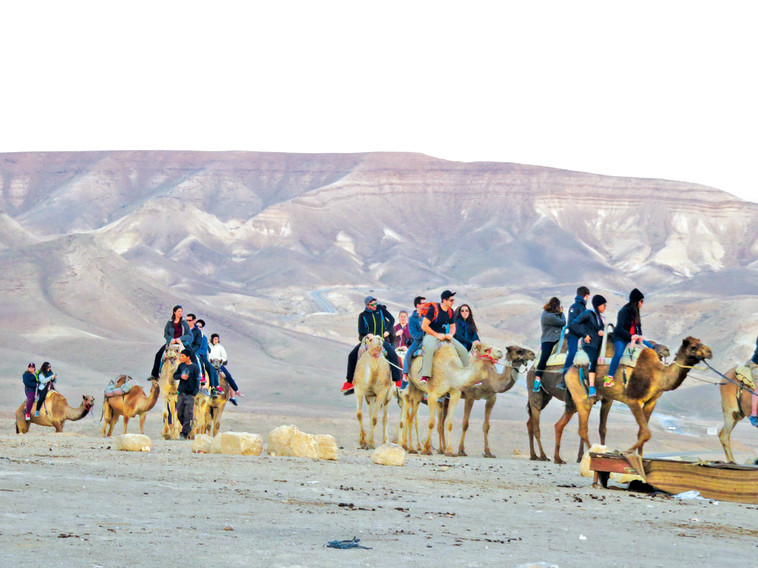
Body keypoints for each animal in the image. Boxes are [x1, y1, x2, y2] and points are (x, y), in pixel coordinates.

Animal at [528, 340, 672, 464]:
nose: (666, 349)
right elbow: (599, 428)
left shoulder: (607, 399)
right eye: (652, 345)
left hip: (548, 398)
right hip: (537, 394)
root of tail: (531, 369)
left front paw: (583, 456)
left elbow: (602, 428)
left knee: (534, 423)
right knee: (536, 425)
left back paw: (539, 456)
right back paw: (543, 456)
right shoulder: (606, 398)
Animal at [568, 338, 716, 458]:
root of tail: (571, 367)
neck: (658, 374)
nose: (709, 352)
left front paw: (639, 458)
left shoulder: (651, 402)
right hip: (580, 393)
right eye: (693, 347)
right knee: (582, 429)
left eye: (700, 342)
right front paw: (622, 452)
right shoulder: (633, 401)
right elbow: (646, 433)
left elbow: (641, 433)